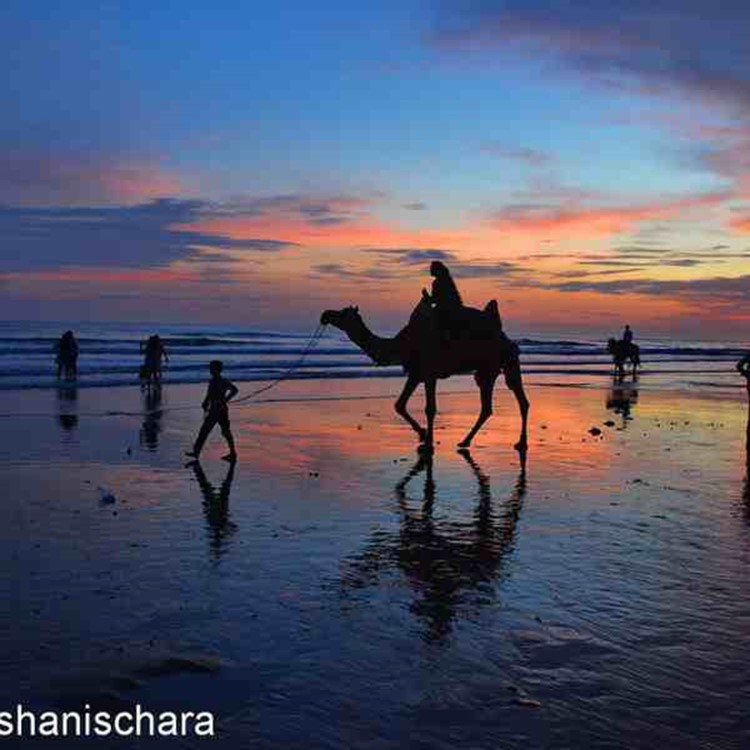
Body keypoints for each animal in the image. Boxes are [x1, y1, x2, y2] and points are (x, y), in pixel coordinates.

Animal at [320, 298, 532, 452]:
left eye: (343, 313)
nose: (325, 314)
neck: (400, 345)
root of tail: (508, 339)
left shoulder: (429, 373)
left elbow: (429, 408)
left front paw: (427, 443)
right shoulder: (416, 374)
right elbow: (400, 404)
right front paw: (423, 436)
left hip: (501, 363)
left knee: (515, 400)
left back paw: (519, 444)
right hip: (493, 368)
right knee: (497, 405)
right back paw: (466, 441)